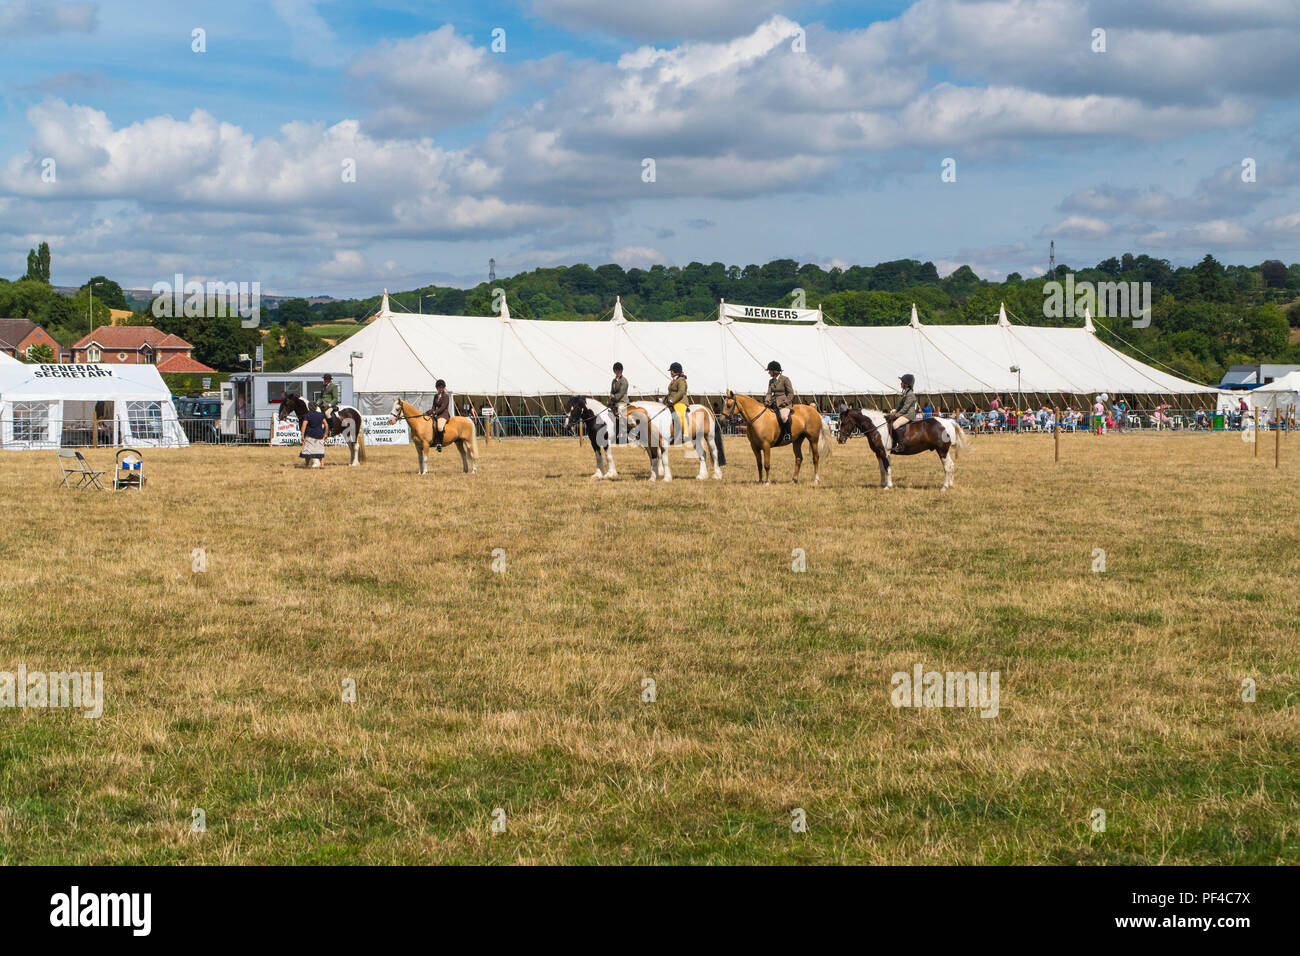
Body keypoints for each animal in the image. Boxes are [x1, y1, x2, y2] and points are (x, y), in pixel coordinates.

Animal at [837, 408, 972, 489]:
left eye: (845, 421)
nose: (840, 440)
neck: (877, 427)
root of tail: (949, 422)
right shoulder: (878, 453)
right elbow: (881, 469)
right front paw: (882, 484)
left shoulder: (885, 452)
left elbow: (888, 468)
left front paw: (888, 486)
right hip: (944, 450)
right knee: (951, 465)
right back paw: (951, 485)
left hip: (942, 450)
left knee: (947, 466)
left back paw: (944, 487)